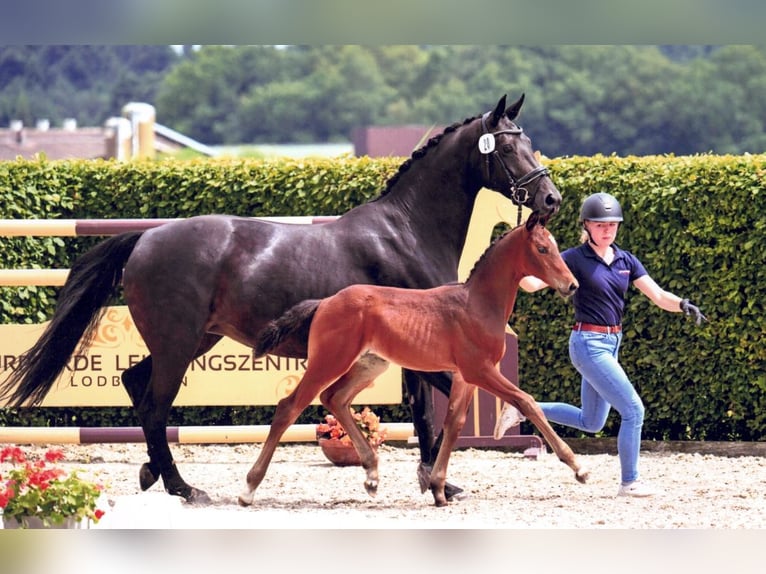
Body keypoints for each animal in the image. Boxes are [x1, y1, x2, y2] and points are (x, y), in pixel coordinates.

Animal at [1, 93, 564, 504]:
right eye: (509, 149)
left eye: (530, 142)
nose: (551, 198)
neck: (407, 230)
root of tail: (146, 239)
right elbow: (440, 401)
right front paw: (437, 478)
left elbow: (428, 406)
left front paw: (436, 479)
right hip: (179, 344)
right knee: (156, 405)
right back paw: (184, 487)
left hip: (192, 341)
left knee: (136, 386)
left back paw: (152, 473)